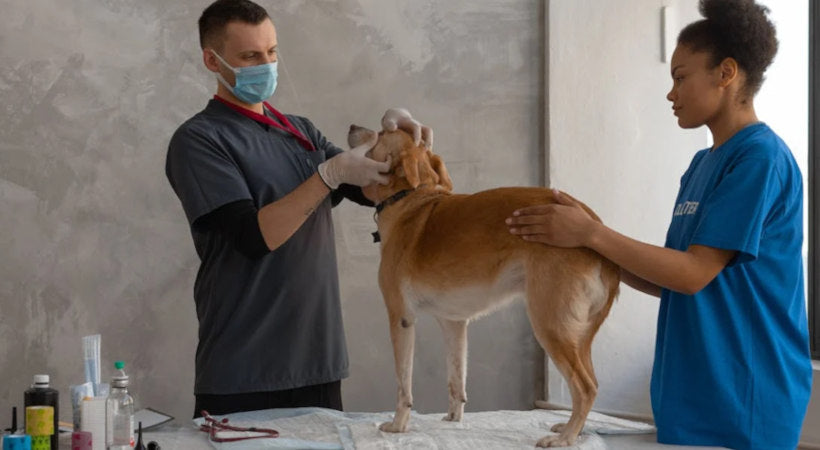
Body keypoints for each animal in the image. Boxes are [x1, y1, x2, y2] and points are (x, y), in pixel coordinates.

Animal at [350, 125, 620, 448]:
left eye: (380, 132)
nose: (352, 128)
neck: (410, 200)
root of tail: (593, 225)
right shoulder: (453, 323)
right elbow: (456, 380)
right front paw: (453, 421)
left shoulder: (401, 318)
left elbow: (403, 384)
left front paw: (398, 425)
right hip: (577, 333)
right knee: (591, 382)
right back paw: (571, 429)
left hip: (550, 324)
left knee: (586, 387)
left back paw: (566, 437)